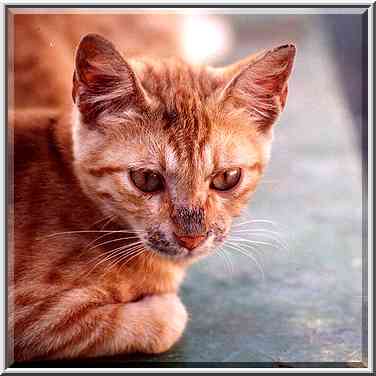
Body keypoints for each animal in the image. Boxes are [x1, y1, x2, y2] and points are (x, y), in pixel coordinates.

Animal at [9, 31, 296, 362]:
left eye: (226, 178)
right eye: (147, 179)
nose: (191, 238)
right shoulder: (33, 316)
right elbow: (164, 320)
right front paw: (165, 307)